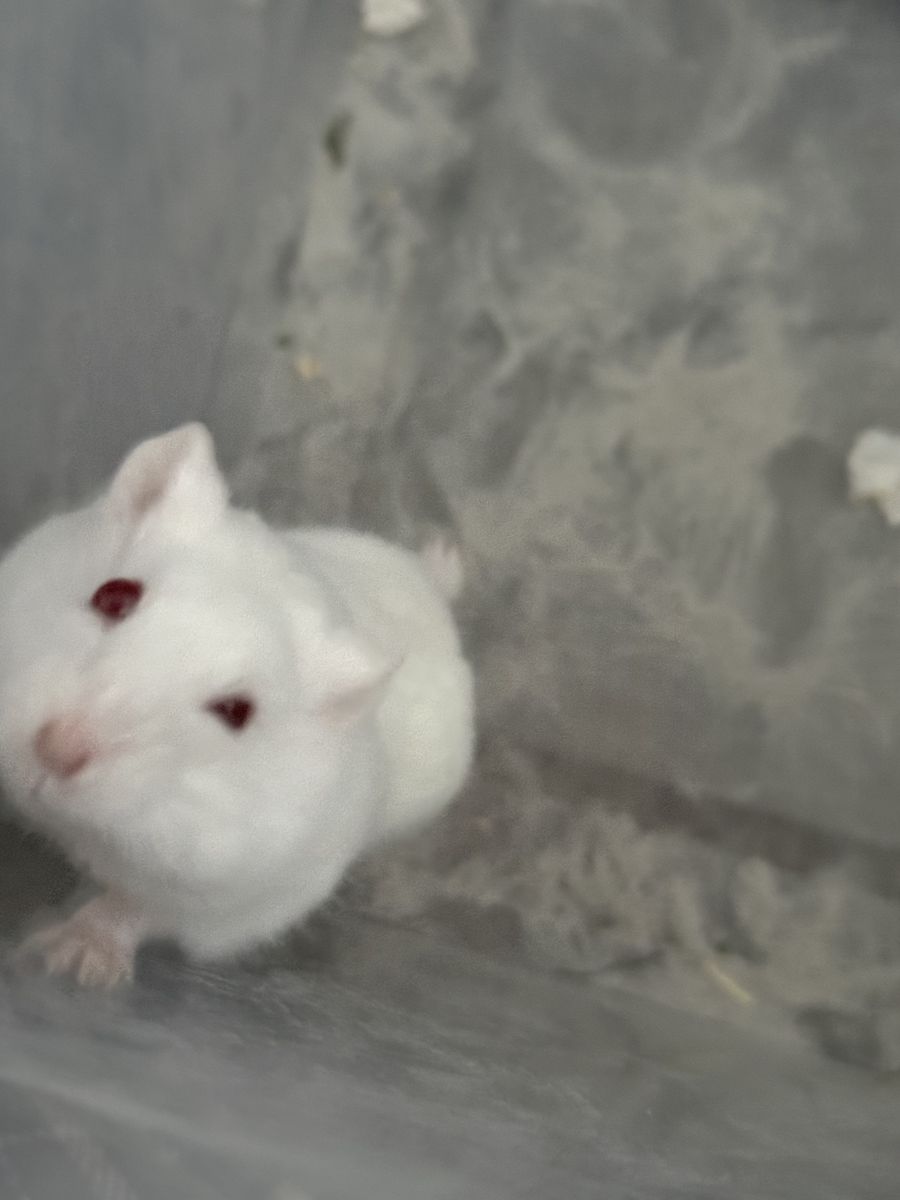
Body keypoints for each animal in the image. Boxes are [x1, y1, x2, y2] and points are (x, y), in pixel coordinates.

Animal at [0, 424, 475, 986]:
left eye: (236, 711)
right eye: (113, 596)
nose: (54, 752)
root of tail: (430, 593)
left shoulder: (228, 898)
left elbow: (130, 909)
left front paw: (69, 964)